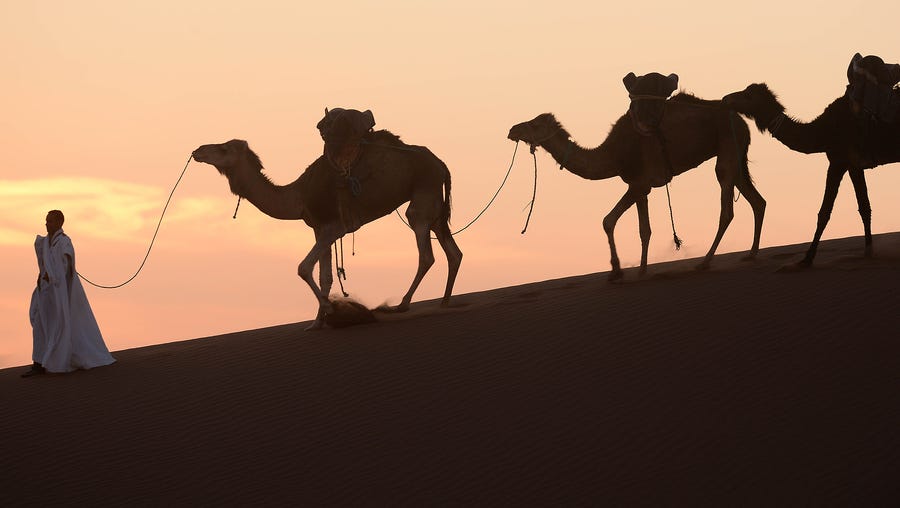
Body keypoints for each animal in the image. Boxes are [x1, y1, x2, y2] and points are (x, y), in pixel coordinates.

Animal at [192, 127, 463, 330]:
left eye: (223, 148)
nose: (197, 150)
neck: (298, 196)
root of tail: (440, 163)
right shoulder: (319, 229)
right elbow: (325, 276)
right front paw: (316, 323)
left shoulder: (334, 227)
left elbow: (303, 268)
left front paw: (333, 309)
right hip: (434, 203)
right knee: (453, 251)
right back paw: (445, 302)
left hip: (422, 196)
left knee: (426, 253)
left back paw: (402, 304)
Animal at [508, 72, 767, 280]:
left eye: (534, 124)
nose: (512, 130)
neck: (613, 153)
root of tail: (741, 120)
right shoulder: (641, 187)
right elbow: (644, 229)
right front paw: (641, 270)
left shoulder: (638, 184)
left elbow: (608, 220)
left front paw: (616, 271)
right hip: (736, 155)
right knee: (757, 201)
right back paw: (752, 254)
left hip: (727, 147)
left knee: (727, 209)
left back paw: (705, 262)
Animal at [722, 54, 900, 266]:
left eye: (748, 95)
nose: (725, 98)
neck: (823, 130)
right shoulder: (853, 165)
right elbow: (865, 207)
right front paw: (868, 253)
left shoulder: (837, 161)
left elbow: (824, 212)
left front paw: (806, 259)